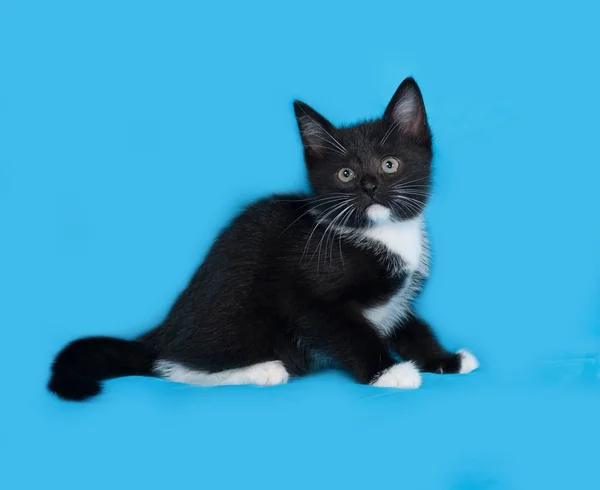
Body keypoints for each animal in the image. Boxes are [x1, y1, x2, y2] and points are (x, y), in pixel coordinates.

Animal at [48, 77, 478, 402]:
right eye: (345, 174)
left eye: (390, 164)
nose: (370, 186)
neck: (379, 233)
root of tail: (162, 332)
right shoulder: (307, 293)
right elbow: (350, 332)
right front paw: (388, 372)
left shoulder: (398, 298)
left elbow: (411, 326)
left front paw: (445, 359)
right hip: (237, 312)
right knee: (173, 366)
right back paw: (261, 370)